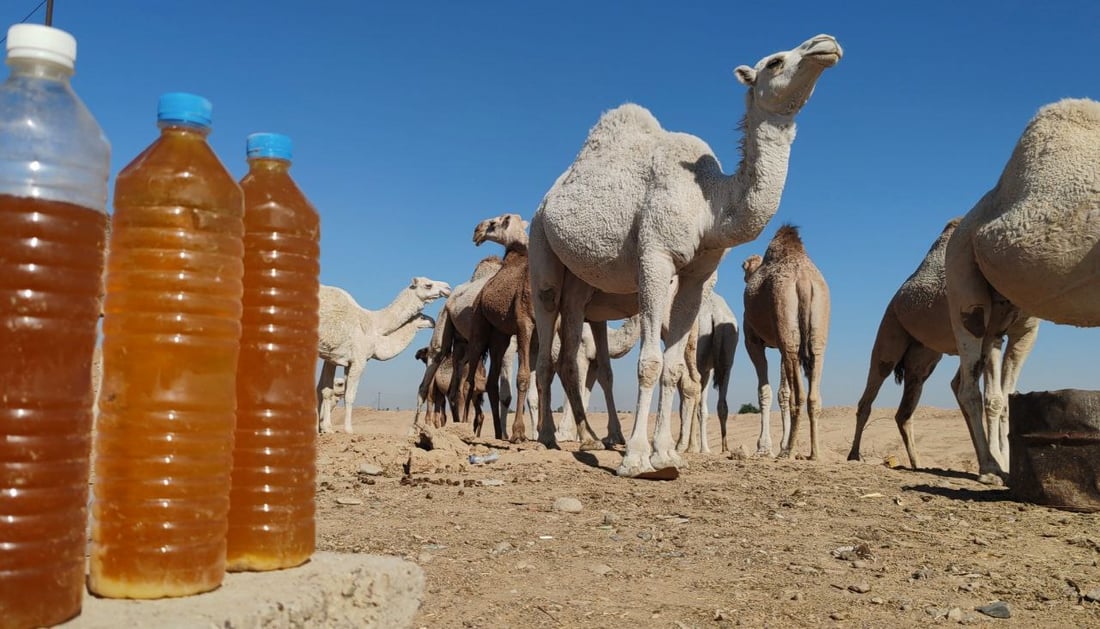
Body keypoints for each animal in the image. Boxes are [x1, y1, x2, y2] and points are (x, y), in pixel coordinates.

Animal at [319, 280, 451, 433]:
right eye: (428, 285)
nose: (448, 288)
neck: (373, 322)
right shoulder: (358, 359)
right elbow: (349, 395)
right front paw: (348, 430)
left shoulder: (332, 357)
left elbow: (326, 390)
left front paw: (326, 428)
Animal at [459, 212, 536, 442]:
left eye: (493, 223)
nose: (477, 231)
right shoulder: (524, 323)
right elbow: (523, 376)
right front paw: (519, 432)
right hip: (479, 329)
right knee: (469, 381)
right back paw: (465, 427)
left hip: (499, 338)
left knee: (491, 383)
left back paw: (499, 432)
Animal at [743, 223, 827, 459]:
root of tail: (804, 281)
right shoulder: (782, 344)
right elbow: (783, 393)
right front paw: (778, 444)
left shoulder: (752, 340)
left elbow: (765, 391)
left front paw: (764, 447)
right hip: (815, 334)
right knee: (813, 395)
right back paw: (814, 453)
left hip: (785, 321)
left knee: (799, 395)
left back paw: (788, 451)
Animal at [844, 218, 1034, 468]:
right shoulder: (991, 327)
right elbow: (993, 398)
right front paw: (998, 463)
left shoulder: (1025, 330)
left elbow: (1004, 399)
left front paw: (1001, 461)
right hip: (890, 331)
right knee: (870, 393)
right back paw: (854, 455)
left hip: (923, 358)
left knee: (906, 409)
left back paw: (919, 464)